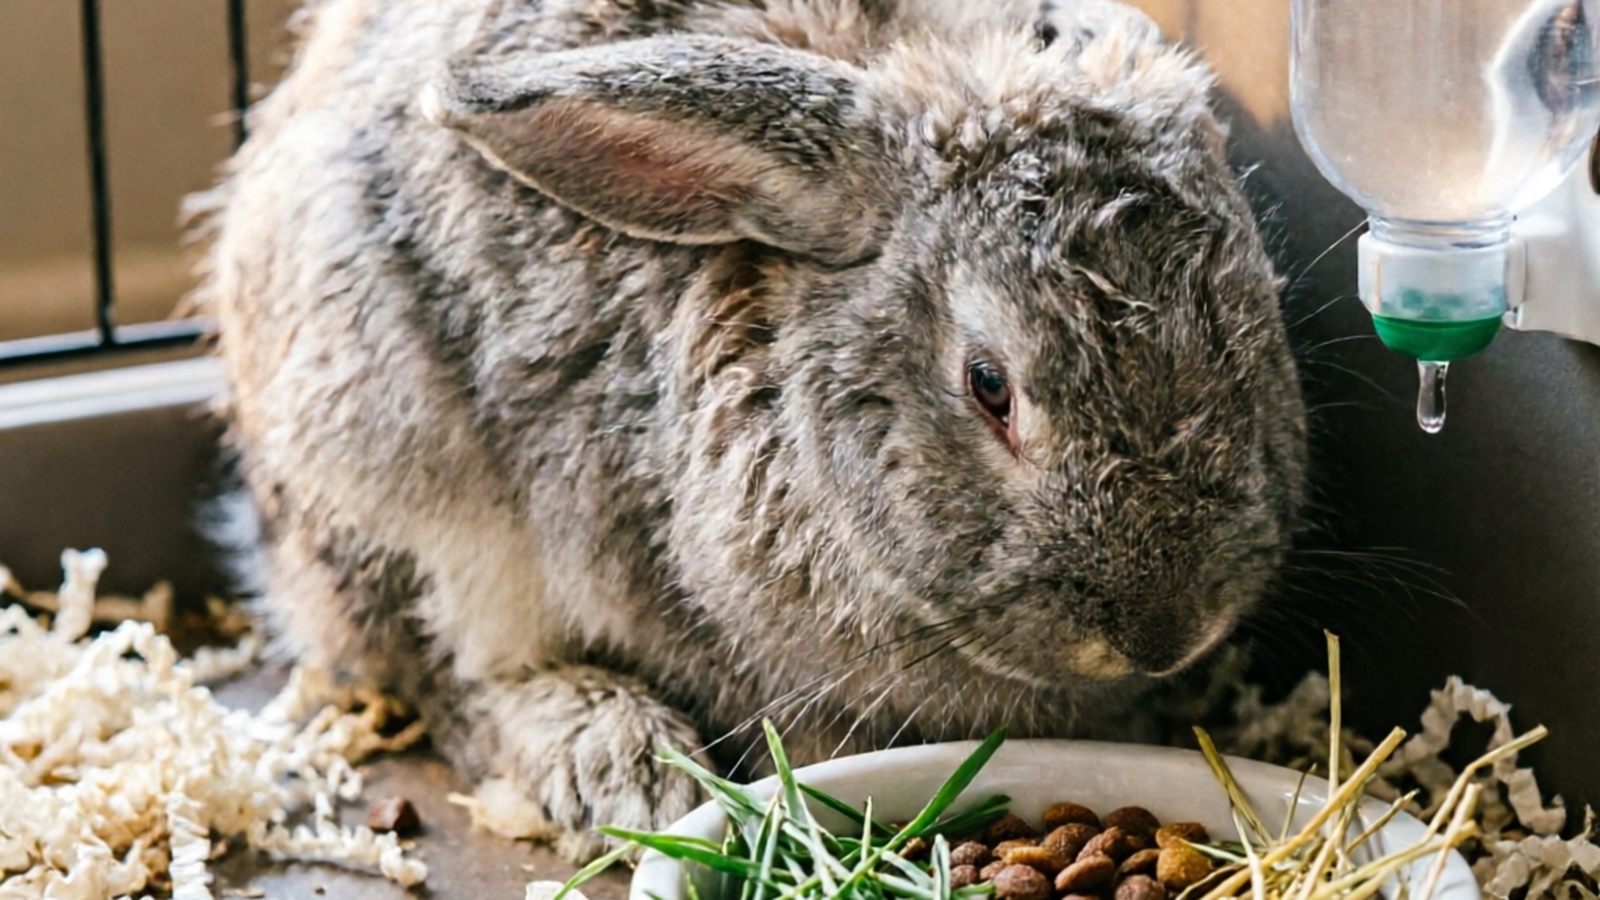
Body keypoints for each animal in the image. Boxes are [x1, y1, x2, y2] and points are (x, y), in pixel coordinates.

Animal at [191, 0, 1308, 861]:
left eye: (1257, 322)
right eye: (990, 385)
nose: (1165, 631)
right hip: (393, 469)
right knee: (442, 672)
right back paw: (619, 763)